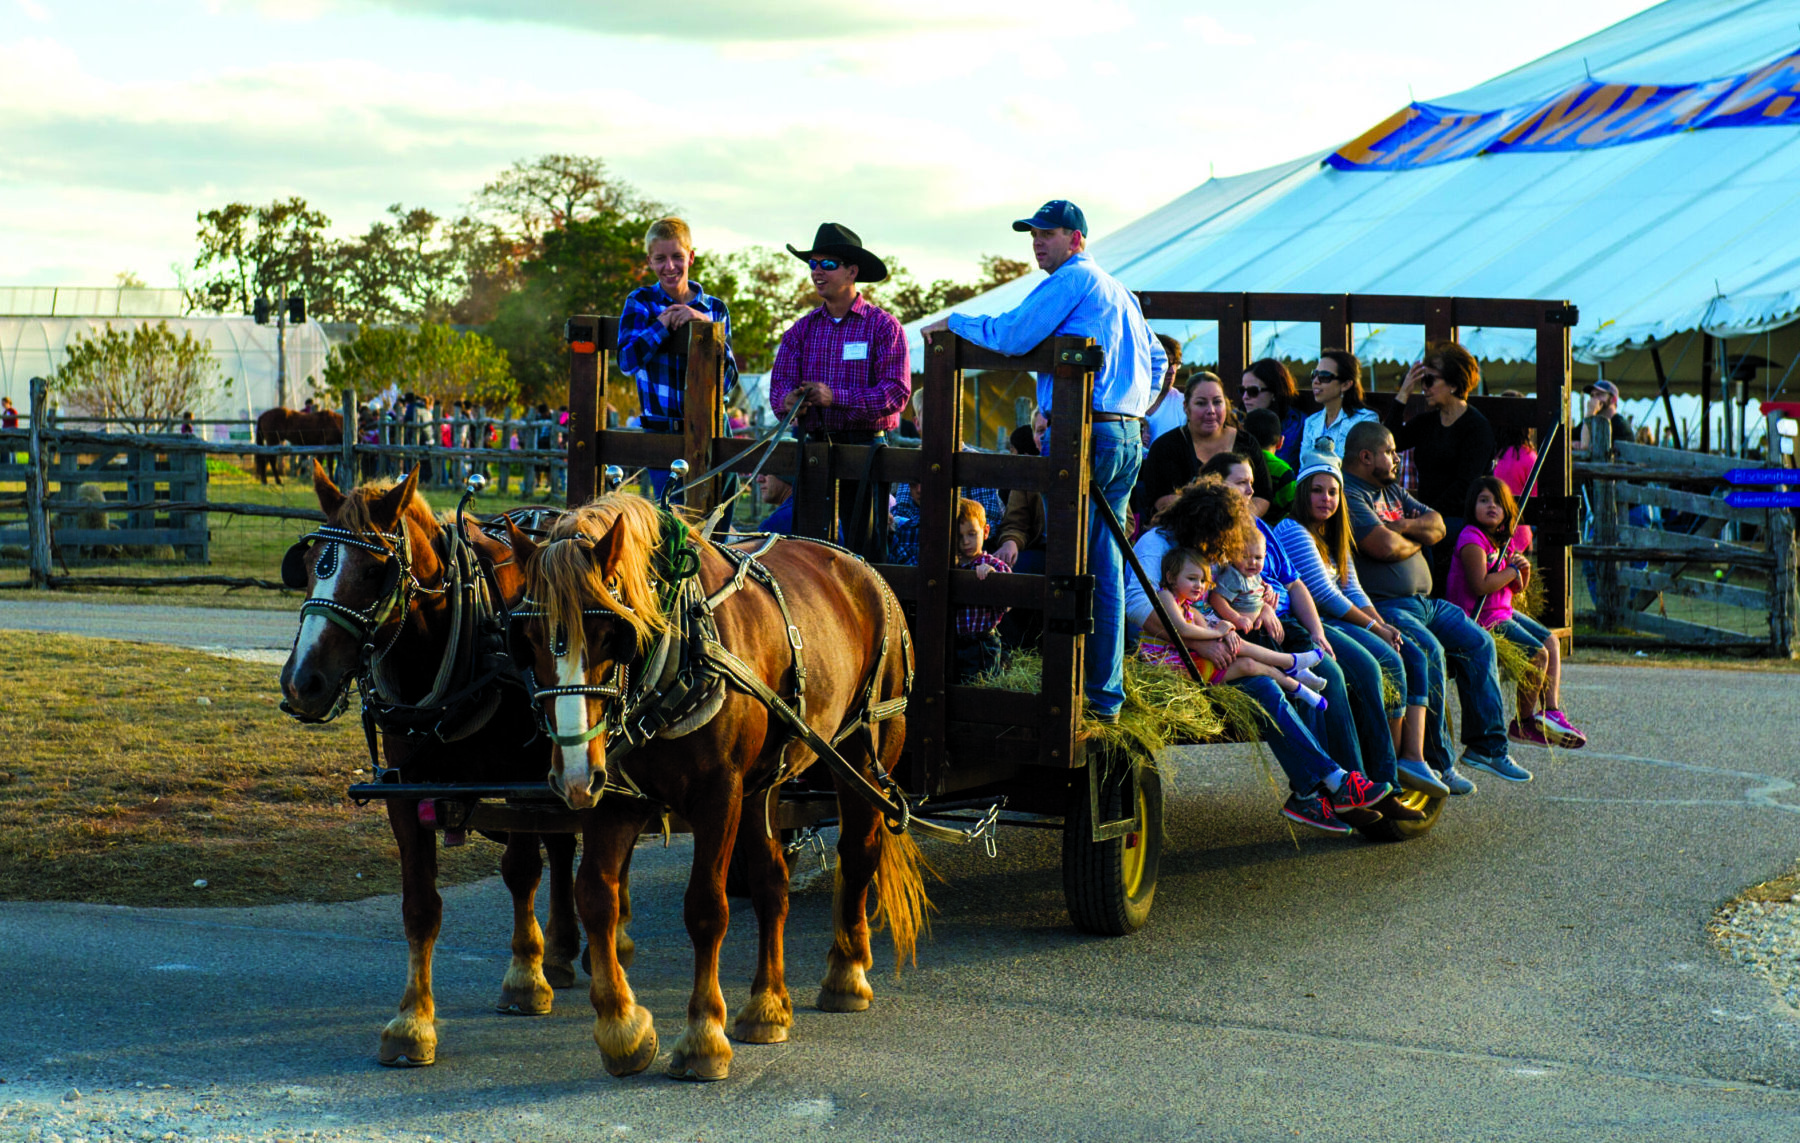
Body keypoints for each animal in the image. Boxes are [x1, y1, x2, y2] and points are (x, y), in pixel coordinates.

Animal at [275, 460, 626, 1065]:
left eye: (375, 571)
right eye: (311, 561)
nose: (302, 683)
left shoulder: (519, 780)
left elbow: (521, 870)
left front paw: (524, 979)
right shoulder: (405, 789)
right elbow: (420, 905)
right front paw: (411, 1022)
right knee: (562, 844)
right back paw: (561, 949)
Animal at [507, 496, 928, 1087]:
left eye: (613, 635)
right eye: (526, 643)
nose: (570, 773)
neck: (674, 657)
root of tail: (860, 566)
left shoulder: (717, 795)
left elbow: (707, 907)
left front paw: (703, 1036)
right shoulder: (615, 794)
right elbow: (596, 896)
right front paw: (621, 1028)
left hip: (865, 753)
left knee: (859, 853)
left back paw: (846, 974)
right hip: (761, 786)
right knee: (772, 883)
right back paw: (767, 1006)